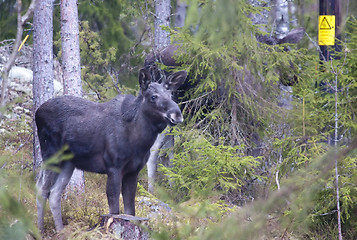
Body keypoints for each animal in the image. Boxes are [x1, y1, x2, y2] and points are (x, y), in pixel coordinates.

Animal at [35, 68, 186, 232]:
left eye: (171, 95)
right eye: (153, 96)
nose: (177, 114)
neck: (139, 142)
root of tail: (37, 112)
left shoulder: (133, 171)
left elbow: (130, 211)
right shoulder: (113, 166)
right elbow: (114, 210)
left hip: (68, 162)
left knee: (55, 193)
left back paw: (61, 231)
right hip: (50, 154)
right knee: (42, 188)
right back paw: (40, 230)